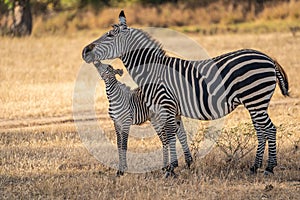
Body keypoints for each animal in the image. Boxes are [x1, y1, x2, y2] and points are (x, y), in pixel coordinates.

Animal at [82, 10, 288, 175]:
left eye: (109, 35)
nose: (84, 51)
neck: (153, 72)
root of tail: (267, 57)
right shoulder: (172, 109)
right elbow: (176, 135)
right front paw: (178, 165)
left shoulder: (166, 105)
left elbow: (169, 135)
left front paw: (170, 170)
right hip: (255, 103)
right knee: (261, 130)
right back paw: (255, 167)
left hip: (255, 99)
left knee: (269, 129)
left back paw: (269, 168)